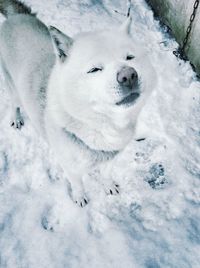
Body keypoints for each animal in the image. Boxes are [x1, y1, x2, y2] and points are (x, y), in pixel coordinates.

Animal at [0, 0, 156, 206]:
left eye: (129, 57)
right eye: (95, 69)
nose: (129, 76)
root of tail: (18, 17)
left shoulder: (110, 158)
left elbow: (106, 174)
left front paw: (108, 185)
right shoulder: (71, 167)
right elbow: (78, 184)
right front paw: (80, 197)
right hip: (13, 89)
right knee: (14, 103)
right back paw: (16, 117)